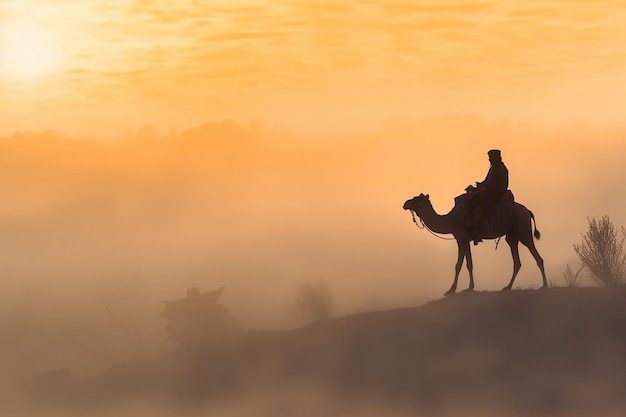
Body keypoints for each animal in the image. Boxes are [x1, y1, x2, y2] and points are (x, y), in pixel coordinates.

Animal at [402, 193, 544, 294]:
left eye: (417, 198)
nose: (405, 203)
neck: (450, 220)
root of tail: (527, 211)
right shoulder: (462, 240)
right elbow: (462, 264)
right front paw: (455, 289)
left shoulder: (463, 239)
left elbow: (465, 264)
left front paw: (464, 288)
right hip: (511, 235)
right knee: (517, 261)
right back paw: (507, 287)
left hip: (523, 228)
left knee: (537, 256)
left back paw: (544, 285)